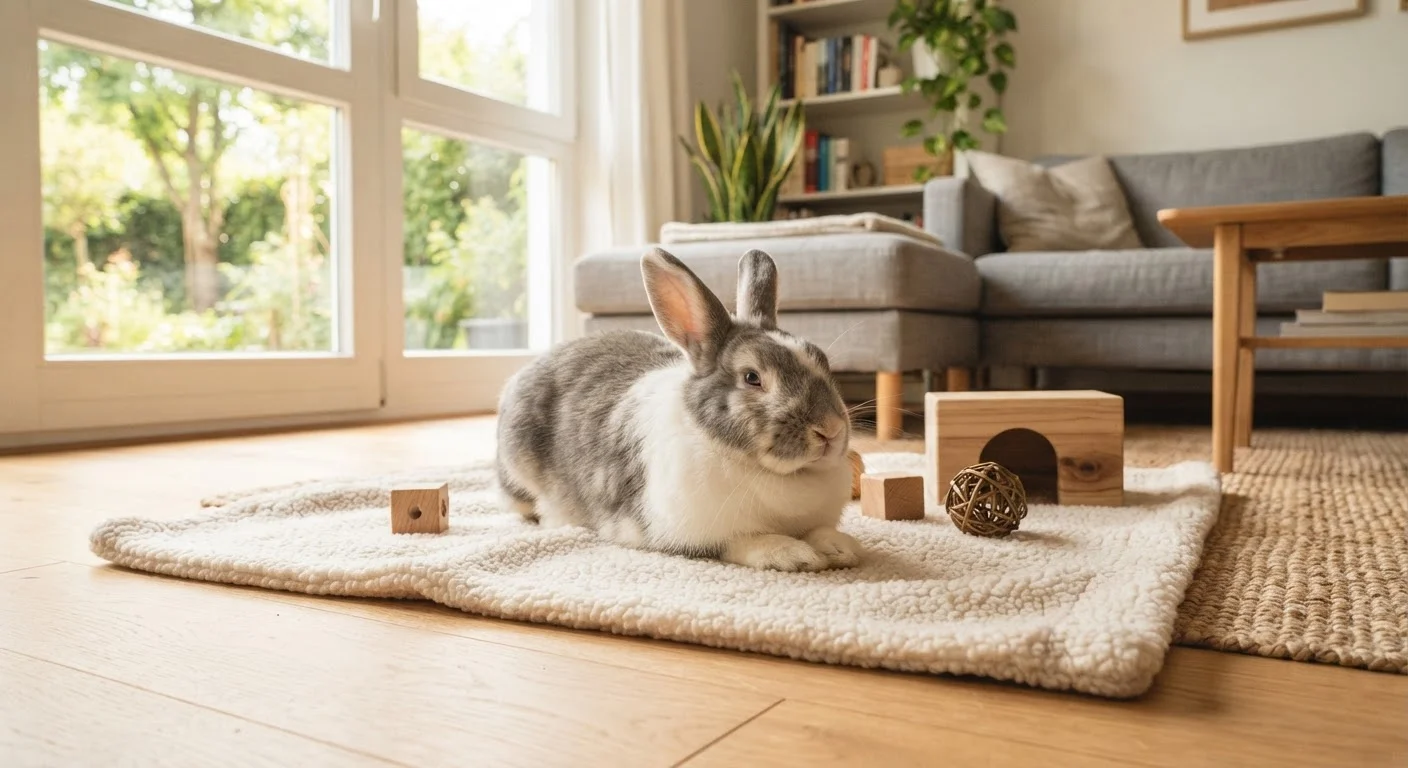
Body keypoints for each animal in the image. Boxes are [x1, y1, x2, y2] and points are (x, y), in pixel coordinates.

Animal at [494, 247, 861, 571]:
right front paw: (792, 554)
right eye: (752, 378)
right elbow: (742, 541)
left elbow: (819, 530)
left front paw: (841, 546)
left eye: (821, 359)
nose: (830, 429)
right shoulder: (690, 535)